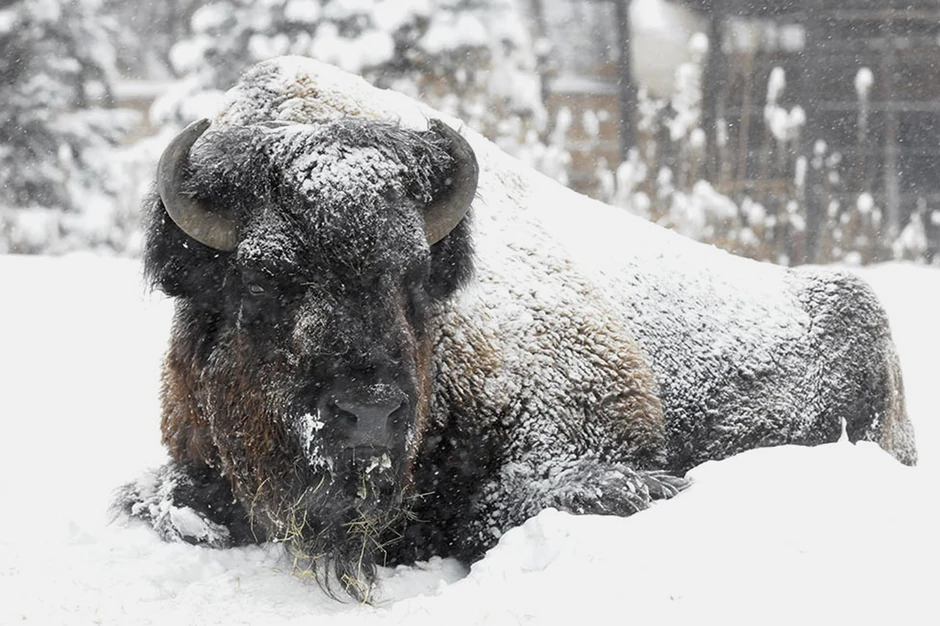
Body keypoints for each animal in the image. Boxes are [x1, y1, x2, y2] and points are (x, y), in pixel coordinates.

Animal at [116, 57, 916, 600]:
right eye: (260, 280)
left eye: (414, 277)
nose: (369, 413)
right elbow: (163, 504)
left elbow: (500, 509)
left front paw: (649, 490)